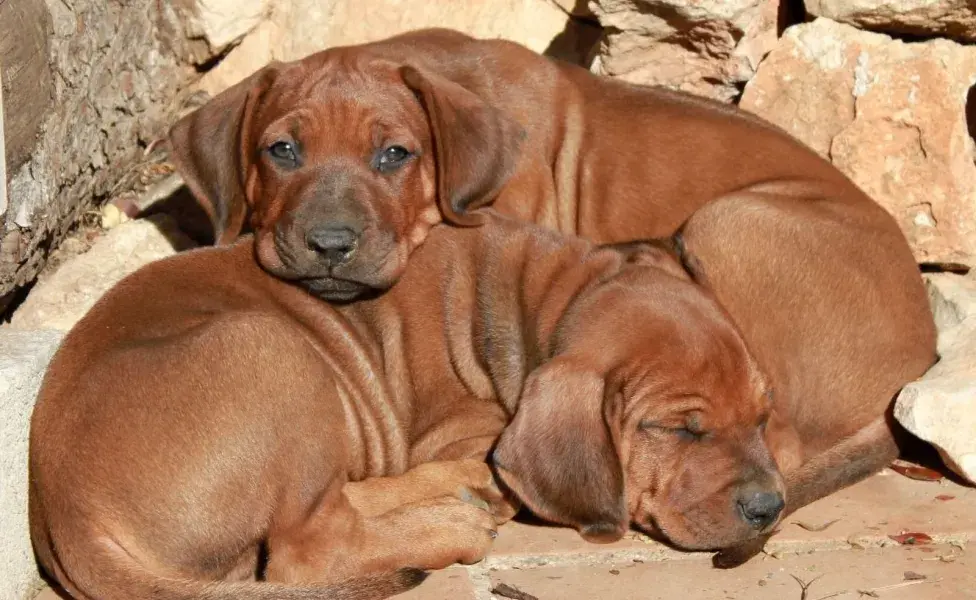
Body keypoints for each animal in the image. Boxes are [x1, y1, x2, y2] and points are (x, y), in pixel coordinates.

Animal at [26, 212, 780, 600]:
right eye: (680, 430)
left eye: (762, 415)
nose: (770, 508)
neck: (545, 301)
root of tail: (63, 511)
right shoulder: (464, 427)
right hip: (273, 348)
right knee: (309, 551)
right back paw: (453, 520)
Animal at [168, 28, 936, 564]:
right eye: (281, 151)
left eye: (394, 155)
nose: (329, 243)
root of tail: (920, 354)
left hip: (727, 225)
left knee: (781, 446)